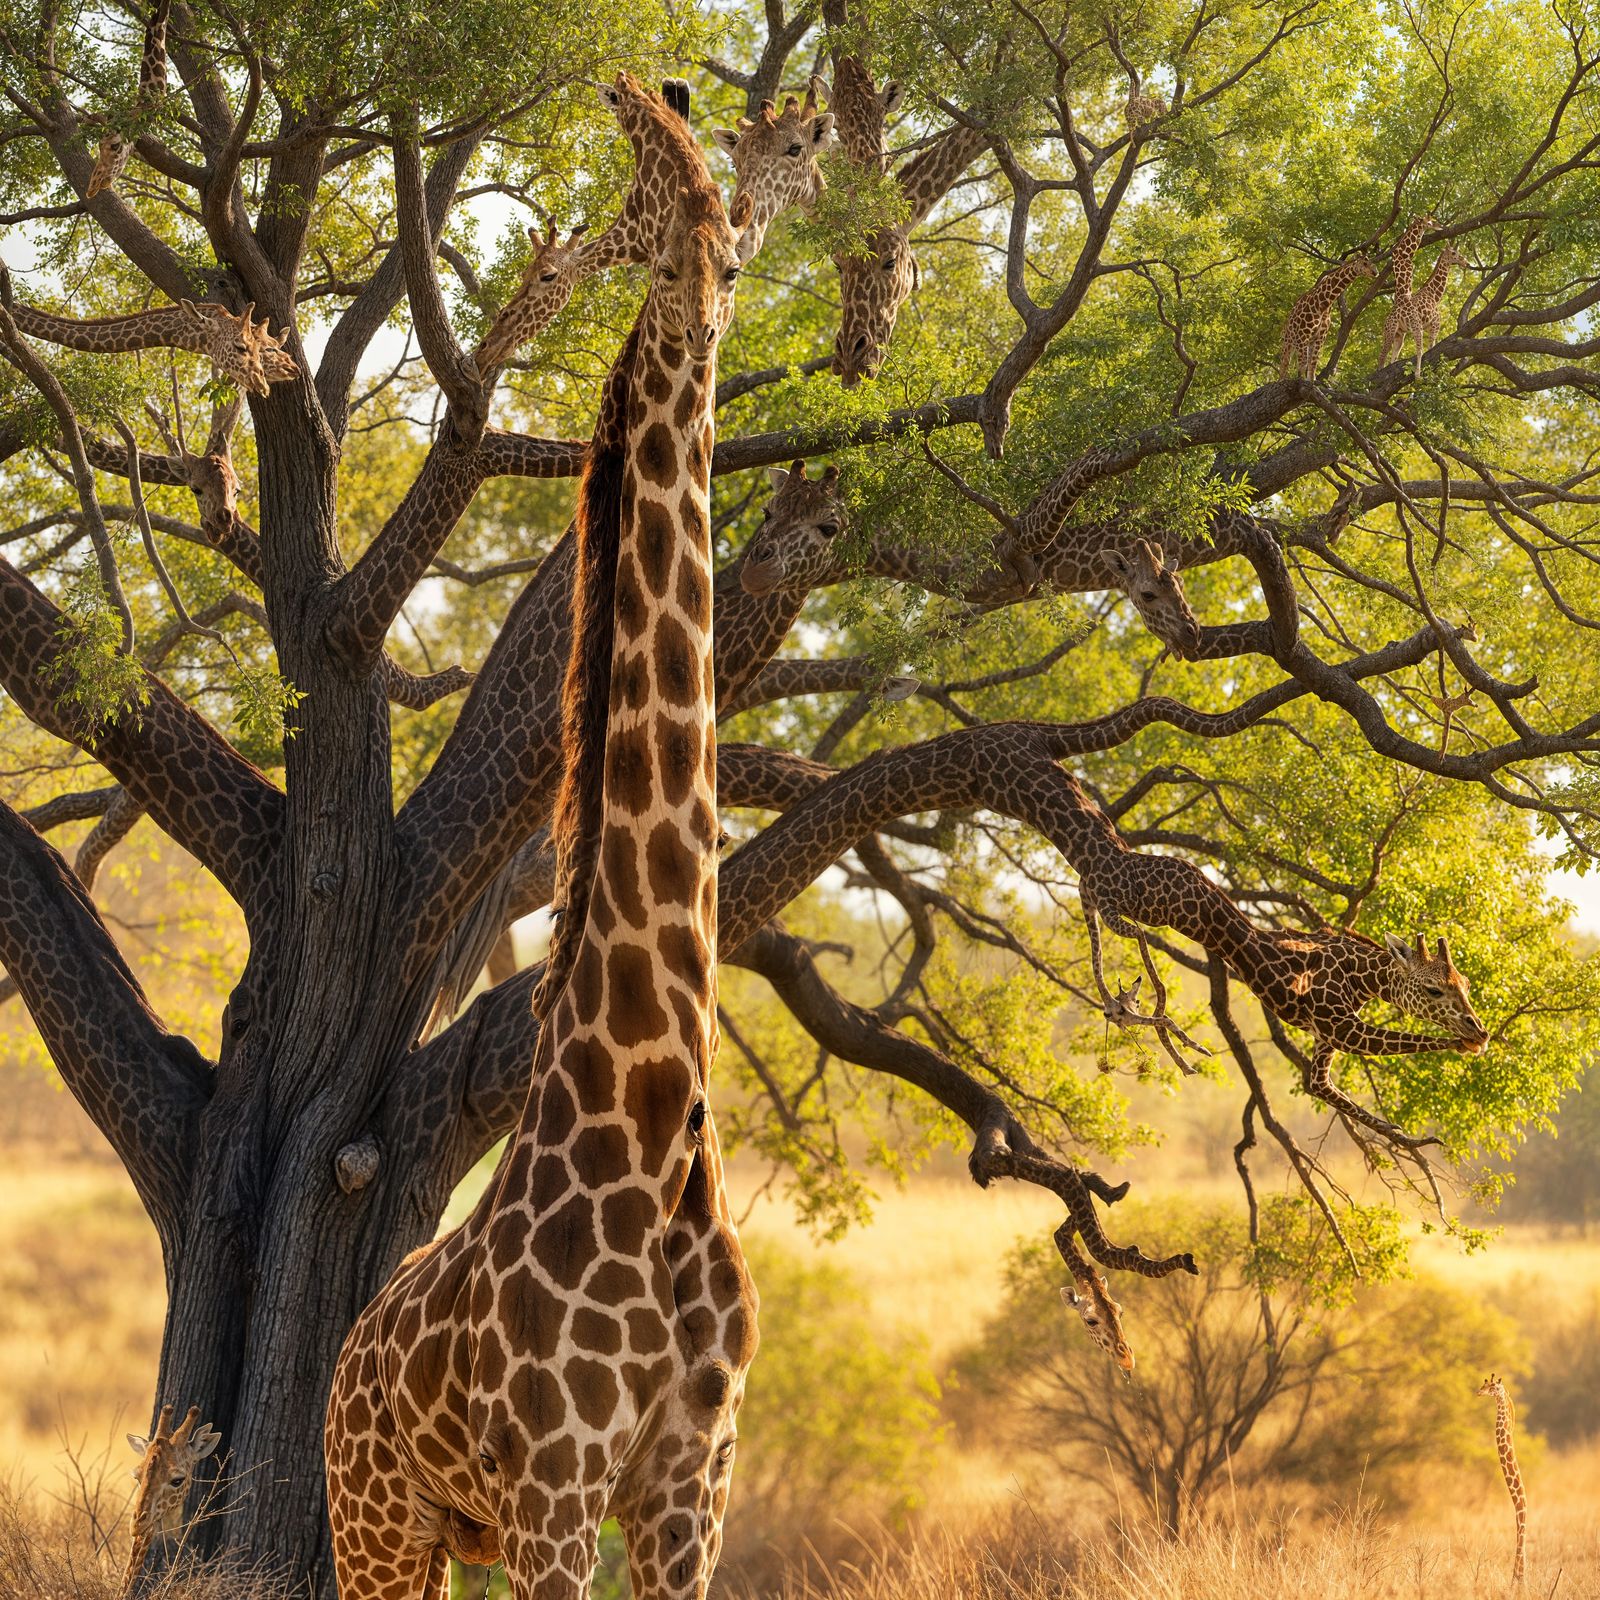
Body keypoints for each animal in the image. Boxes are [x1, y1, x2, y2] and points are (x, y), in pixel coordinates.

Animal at [1380, 246, 1469, 379]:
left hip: (1398, 333)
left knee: (1393, 353)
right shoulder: (1435, 324)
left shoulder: (1428, 326)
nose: (1466, 263)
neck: (1435, 295)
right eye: (1454, 253)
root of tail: (1388, 319)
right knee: (1390, 353)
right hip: (1409, 328)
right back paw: (1416, 375)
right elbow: (1430, 347)